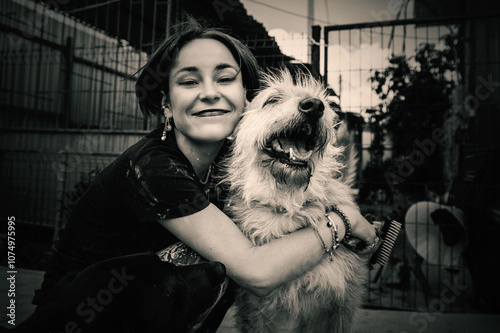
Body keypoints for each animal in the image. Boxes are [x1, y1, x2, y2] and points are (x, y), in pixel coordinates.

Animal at [227, 70, 368, 332]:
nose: (314, 106)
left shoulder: (341, 307)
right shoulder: (255, 312)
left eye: (323, 104)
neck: (288, 204)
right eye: (272, 100)